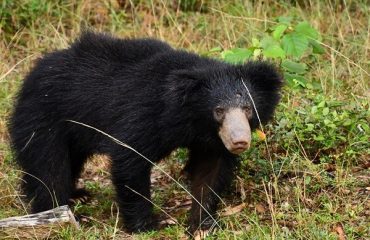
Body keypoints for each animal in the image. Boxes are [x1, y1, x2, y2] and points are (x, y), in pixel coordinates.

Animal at [9, 31, 284, 233]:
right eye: (219, 110)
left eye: (247, 108)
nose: (239, 141)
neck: (188, 116)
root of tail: (33, 73)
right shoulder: (146, 114)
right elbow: (130, 159)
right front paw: (148, 225)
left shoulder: (211, 140)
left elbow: (210, 171)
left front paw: (203, 223)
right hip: (43, 118)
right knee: (48, 167)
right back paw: (58, 211)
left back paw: (78, 195)